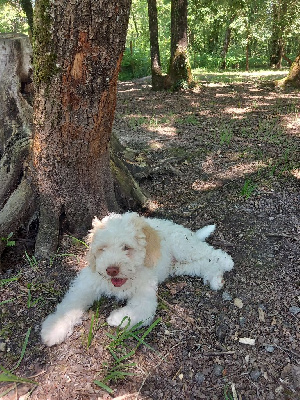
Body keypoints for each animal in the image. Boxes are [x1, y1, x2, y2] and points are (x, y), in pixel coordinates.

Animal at [41, 212, 233, 346]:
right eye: (103, 248)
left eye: (126, 247)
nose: (111, 270)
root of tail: (188, 232)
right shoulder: (86, 283)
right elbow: (70, 304)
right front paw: (54, 329)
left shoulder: (146, 293)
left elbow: (138, 311)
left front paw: (116, 318)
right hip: (179, 266)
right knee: (201, 264)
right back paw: (215, 278)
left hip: (184, 247)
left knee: (212, 253)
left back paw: (226, 262)